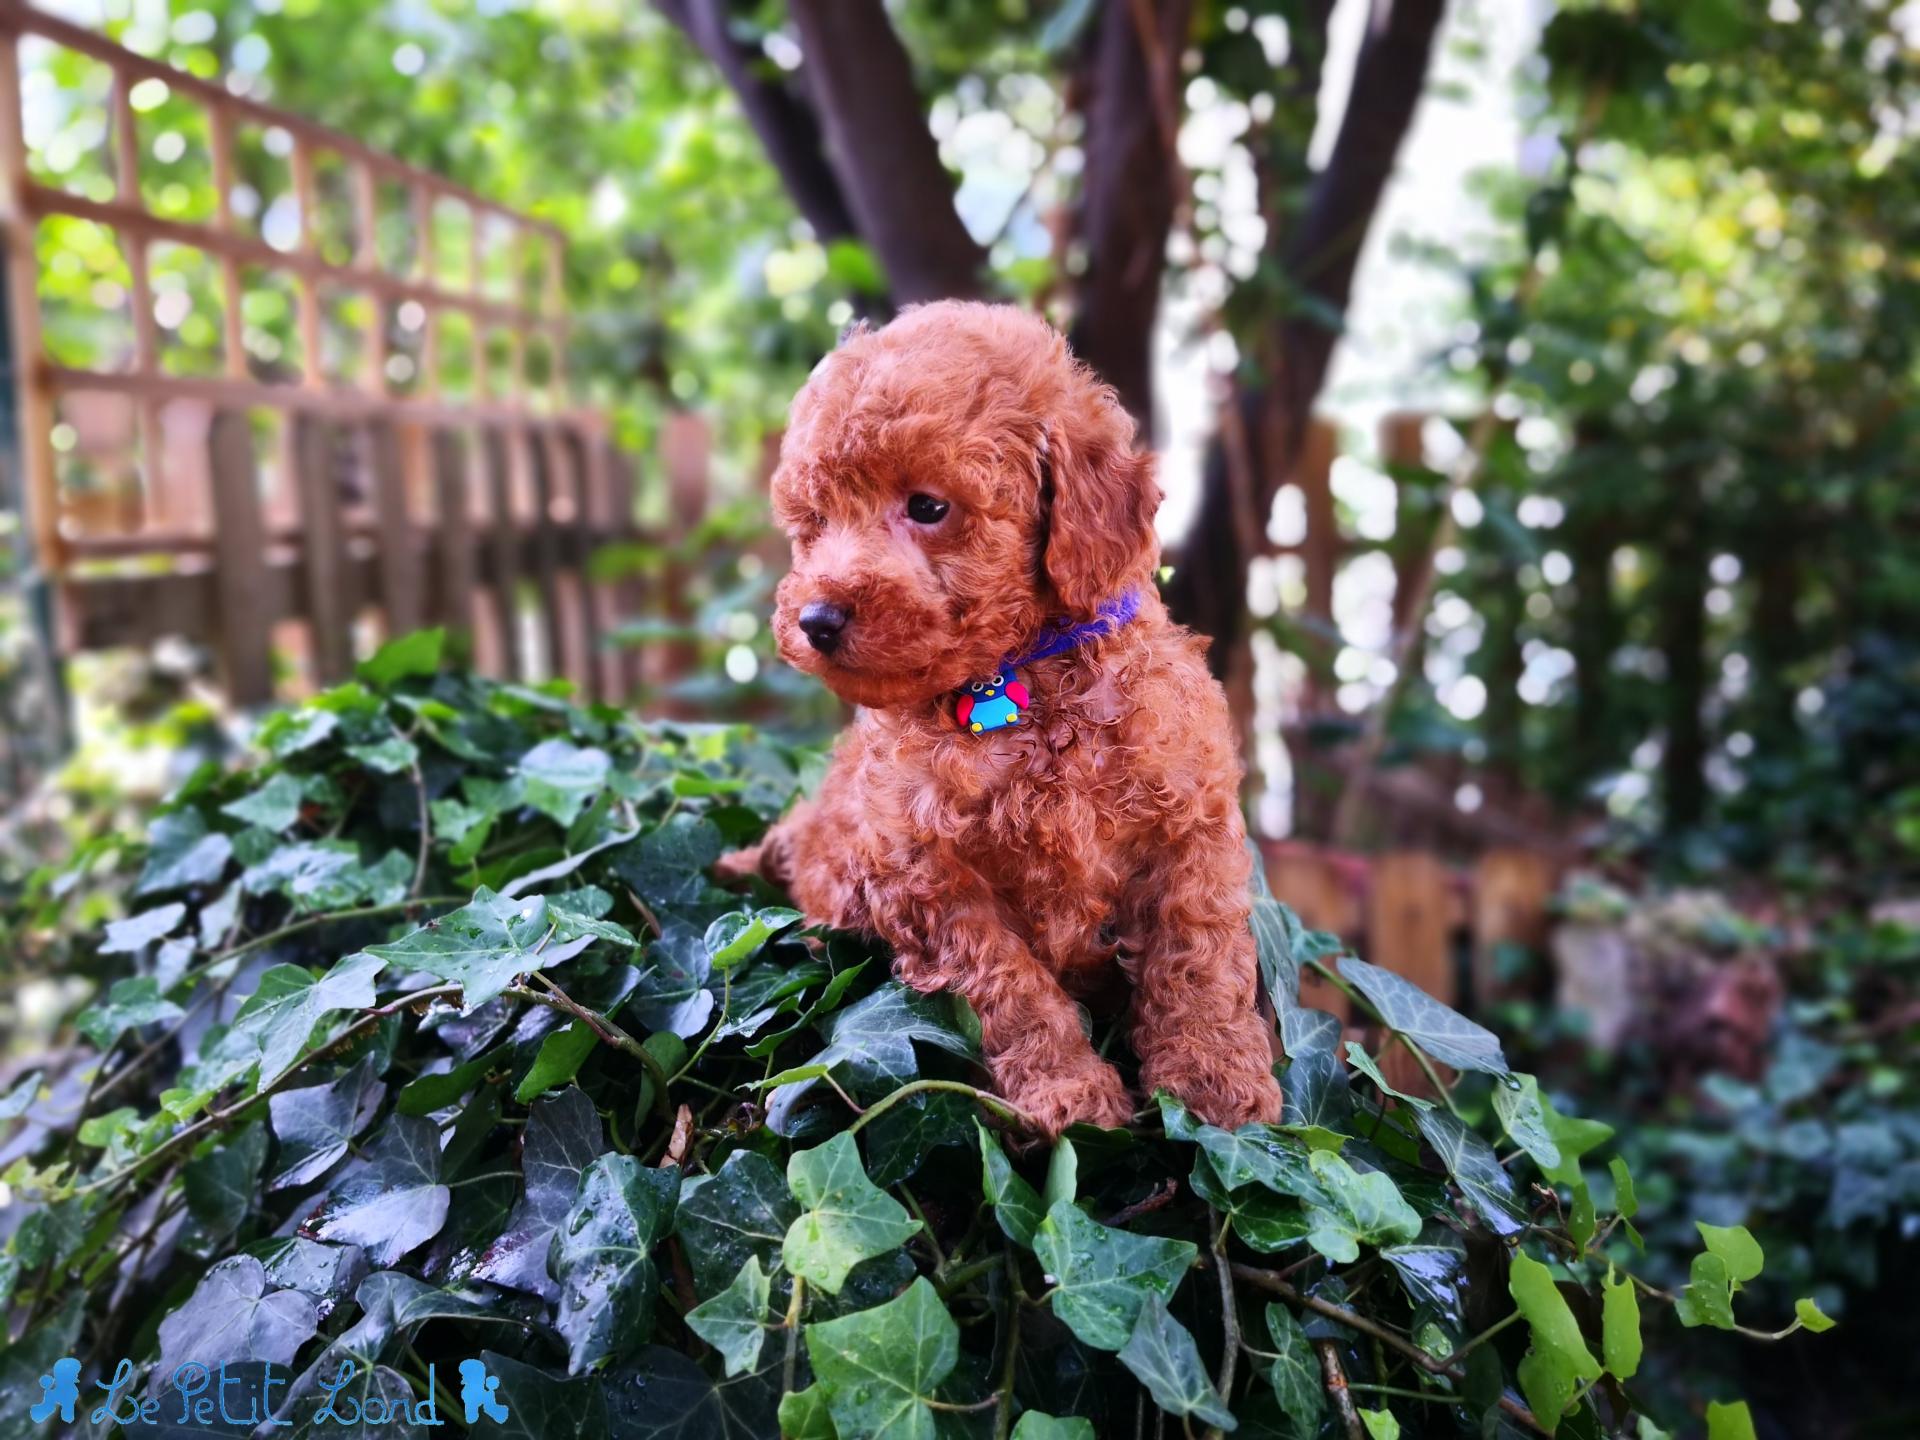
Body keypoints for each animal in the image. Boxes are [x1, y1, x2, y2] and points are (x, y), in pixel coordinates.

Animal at [725, 301, 1282, 1136]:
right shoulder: (925, 871)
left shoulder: (1191, 822)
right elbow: (1010, 984)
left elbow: (1198, 951)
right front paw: (1068, 1094)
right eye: (815, 521)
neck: (1018, 676)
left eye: (928, 507)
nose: (816, 618)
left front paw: (1216, 1079)